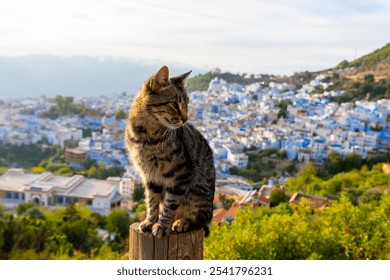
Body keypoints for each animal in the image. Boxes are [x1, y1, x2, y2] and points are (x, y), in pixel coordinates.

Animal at [125, 66, 216, 238]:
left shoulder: (181, 174)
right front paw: (150, 221)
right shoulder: (150, 175)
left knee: (201, 219)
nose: (186, 119)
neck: (146, 135)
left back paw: (182, 222)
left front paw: (162, 225)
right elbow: (152, 201)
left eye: (187, 104)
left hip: (197, 191)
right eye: (174, 104)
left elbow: (170, 203)